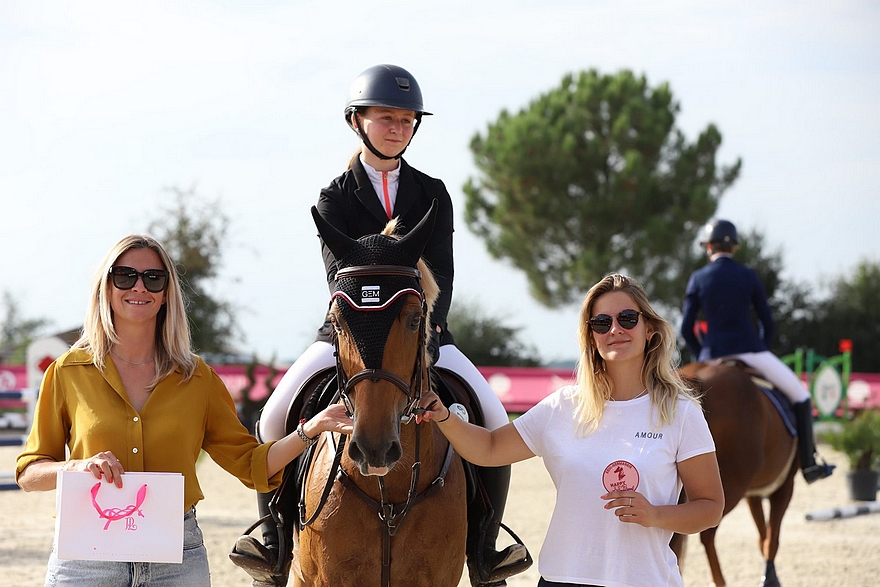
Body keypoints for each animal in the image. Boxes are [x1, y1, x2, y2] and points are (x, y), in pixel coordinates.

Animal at [672, 362, 800, 587]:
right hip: (730, 487)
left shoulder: (754, 493)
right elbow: (772, 538)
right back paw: (719, 581)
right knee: (706, 534)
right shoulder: (785, 486)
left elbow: (763, 535)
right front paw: (770, 579)